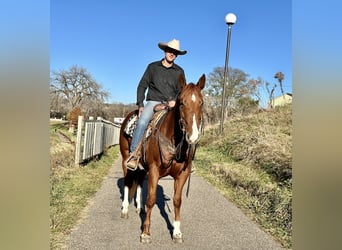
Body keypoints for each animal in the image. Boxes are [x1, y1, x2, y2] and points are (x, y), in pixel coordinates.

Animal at [119, 73, 206, 243]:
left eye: (201, 102)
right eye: (181, 102)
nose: (193, 137)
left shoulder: (182, 174)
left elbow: (177, 201)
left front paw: (177, 232)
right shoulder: (154, 170)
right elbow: (151, 199)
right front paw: (146, 233)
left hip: (142, 166)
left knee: (139, 181)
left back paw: (139, 207)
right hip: (125, 158)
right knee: (127, 180)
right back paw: (125, 209)